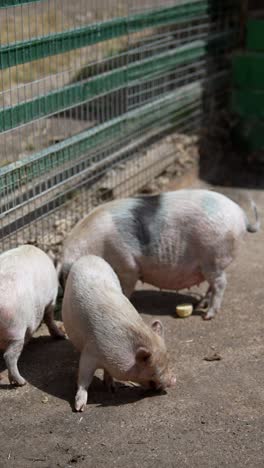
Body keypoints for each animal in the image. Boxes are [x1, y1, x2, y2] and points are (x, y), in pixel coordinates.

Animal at [0, 243, 64, 386]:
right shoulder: (51, 300)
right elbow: (49, 318)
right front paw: (62, 336)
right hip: (15, 330)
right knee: (9, 356)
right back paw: (21, 382)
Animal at [58, 188, 258, 320]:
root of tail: (242, 216)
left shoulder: (127, 265)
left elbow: (126, 286)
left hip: (213, 257)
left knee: (220, 283)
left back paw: (207, 315)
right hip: (210, 264)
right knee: (212, 284)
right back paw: (201, 304)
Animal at [62, 254, 176, 412]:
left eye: (168, 359)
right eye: (153, 371)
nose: (174, 380)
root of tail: (89, 256)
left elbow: (107, 374)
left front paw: (112, 389)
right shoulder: (90, 352)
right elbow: (84, 378)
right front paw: (79, 408)